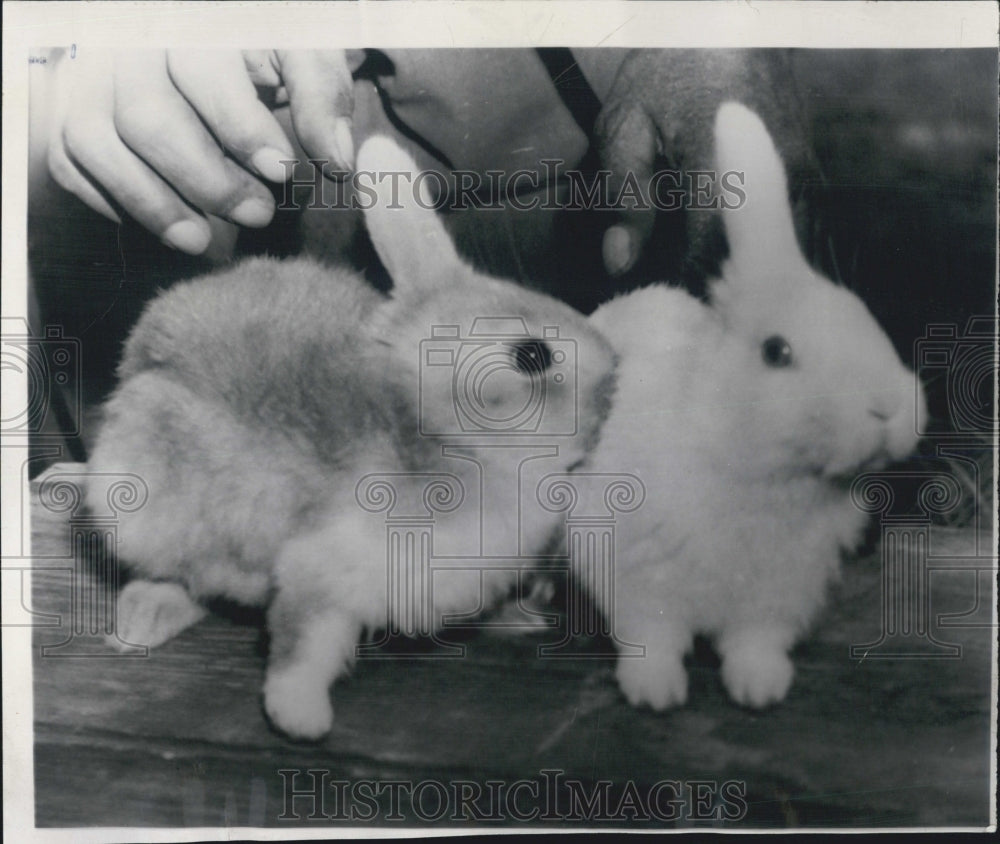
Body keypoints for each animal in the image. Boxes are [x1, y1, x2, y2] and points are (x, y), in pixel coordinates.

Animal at [88, 135, 616, 736]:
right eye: (531, 356)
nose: (611, 397)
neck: (439, 434)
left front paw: (519, 617)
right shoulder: (322, 569)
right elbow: (303, 644)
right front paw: (300, 718)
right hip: (141, 499)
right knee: (174, 573)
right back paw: (144, 619)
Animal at [584, 105, 920, 712]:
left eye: (860, 312)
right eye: (776, 352)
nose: (889, 408)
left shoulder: (776, 596)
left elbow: (754, 643)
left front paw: (761, 687)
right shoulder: (637, 577)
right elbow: (652, 640)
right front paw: (655, 693)